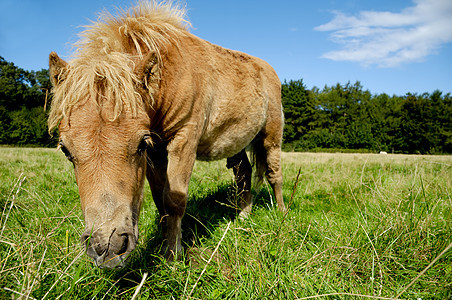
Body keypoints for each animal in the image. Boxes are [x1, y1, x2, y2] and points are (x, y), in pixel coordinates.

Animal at [48, 0, 282, 268]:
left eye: (140, 144)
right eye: (66, 150)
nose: (108, 248)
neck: (169, 76)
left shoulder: (183, 141)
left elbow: (174, 200)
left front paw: (172, 256)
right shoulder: (156, 153)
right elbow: (160, 200)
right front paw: (162, 247)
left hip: (271, 137)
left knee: (274, 174)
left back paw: (282, 214)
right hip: (237, 144)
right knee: (243, 173)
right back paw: (243, 217)